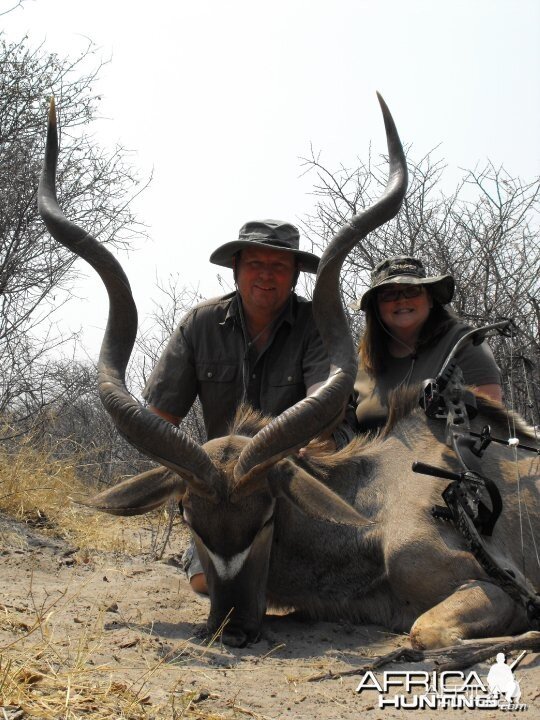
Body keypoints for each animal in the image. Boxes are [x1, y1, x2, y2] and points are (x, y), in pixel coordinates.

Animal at [37, 94, 536, 648]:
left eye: (268, 514)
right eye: (188, 515)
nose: (232, 628)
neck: (372, 510)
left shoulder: (491, 589)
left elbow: (426, 634)